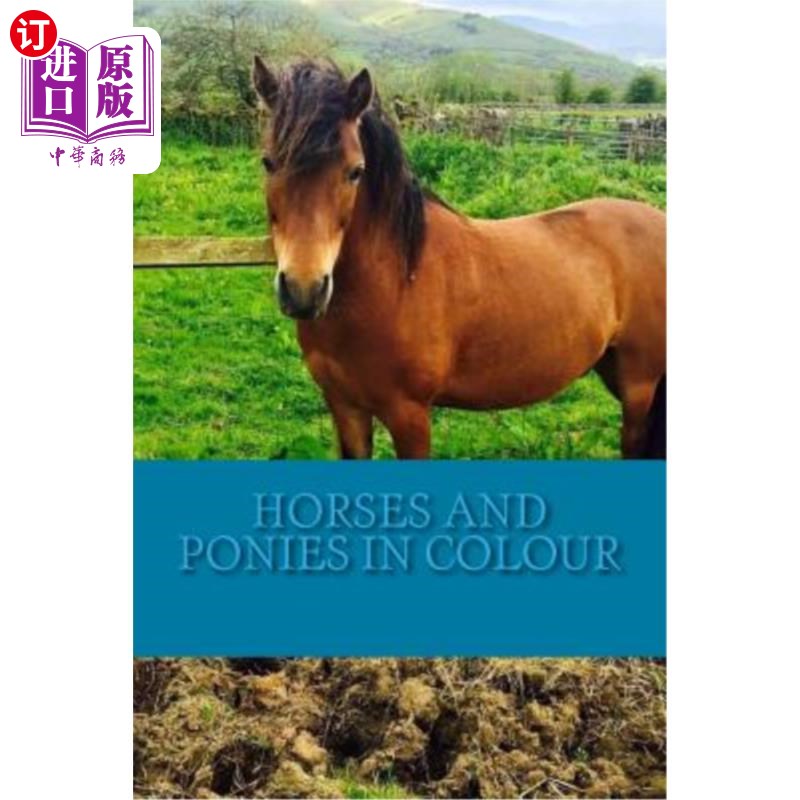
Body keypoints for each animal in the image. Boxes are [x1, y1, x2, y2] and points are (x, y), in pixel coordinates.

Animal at [252, 58, 666, 459]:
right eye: (268, 162)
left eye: (356, 171)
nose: (304, 290)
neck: (395, 281)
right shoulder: (345, 407)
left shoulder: (410, 415)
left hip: (639, 381)